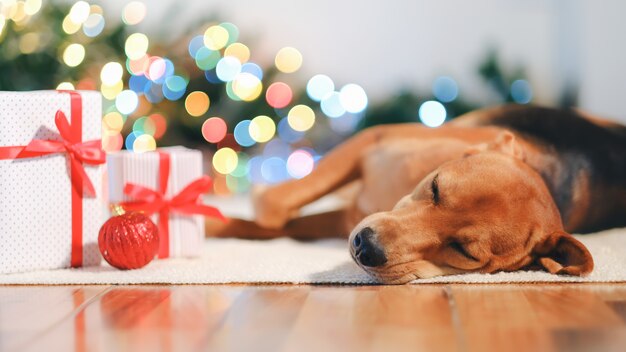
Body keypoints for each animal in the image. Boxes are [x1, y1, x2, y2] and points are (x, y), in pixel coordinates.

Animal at [207, 104, 624, 284]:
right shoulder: (373, 141)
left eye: (464, 252)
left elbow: (270, 220)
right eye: (436, 187)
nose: (365, 248)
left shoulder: (345, 219)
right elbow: (272, 208)